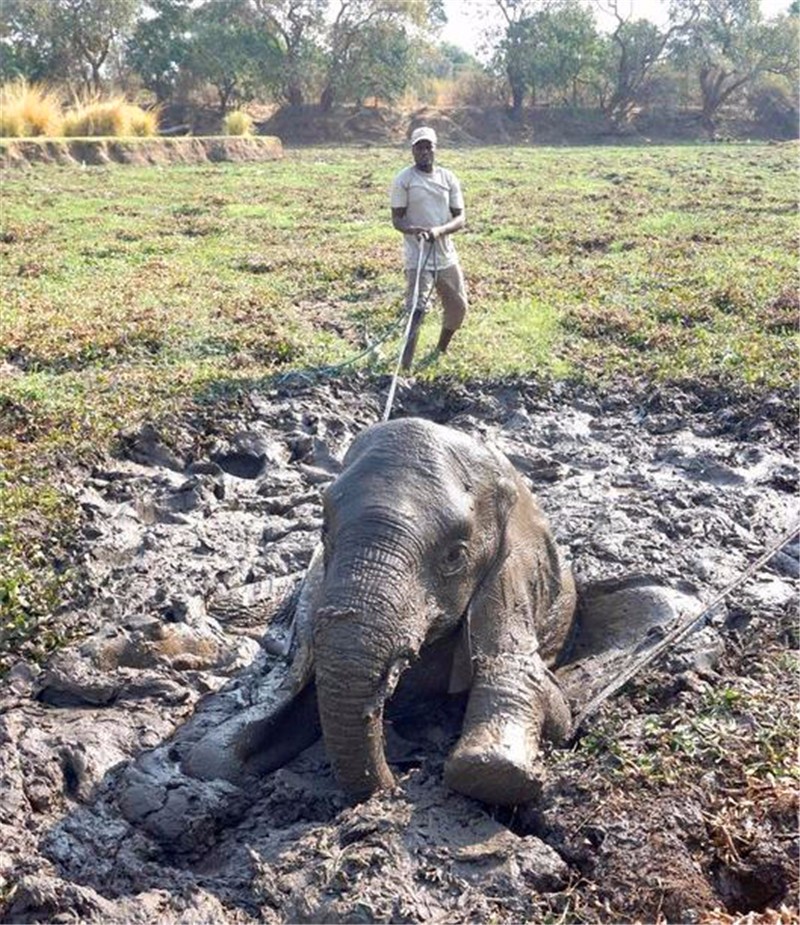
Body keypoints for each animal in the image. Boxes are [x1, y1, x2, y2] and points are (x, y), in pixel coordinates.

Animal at [185, 416, 580, 804]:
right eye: (325, 532)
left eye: (455, 555)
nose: (391, 786)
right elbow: (213, 757)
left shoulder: (513, 575)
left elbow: (534, 715)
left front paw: (491, 769)